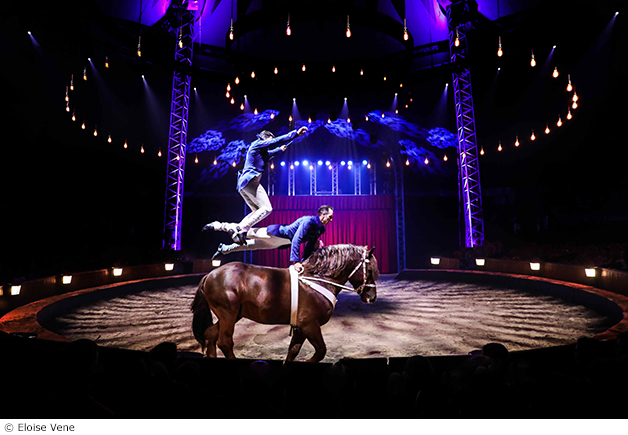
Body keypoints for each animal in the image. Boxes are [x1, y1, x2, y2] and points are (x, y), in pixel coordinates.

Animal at [191, 244, 378, 362]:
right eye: (369, 270)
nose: (372, 297)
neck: (318, 279)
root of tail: (211, 274)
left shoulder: (301, 328)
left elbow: (292, 352)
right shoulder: (309, 324)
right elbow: (320, 351)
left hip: (233, 315)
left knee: (210, 334)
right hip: (228, 315)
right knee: (224, 341)